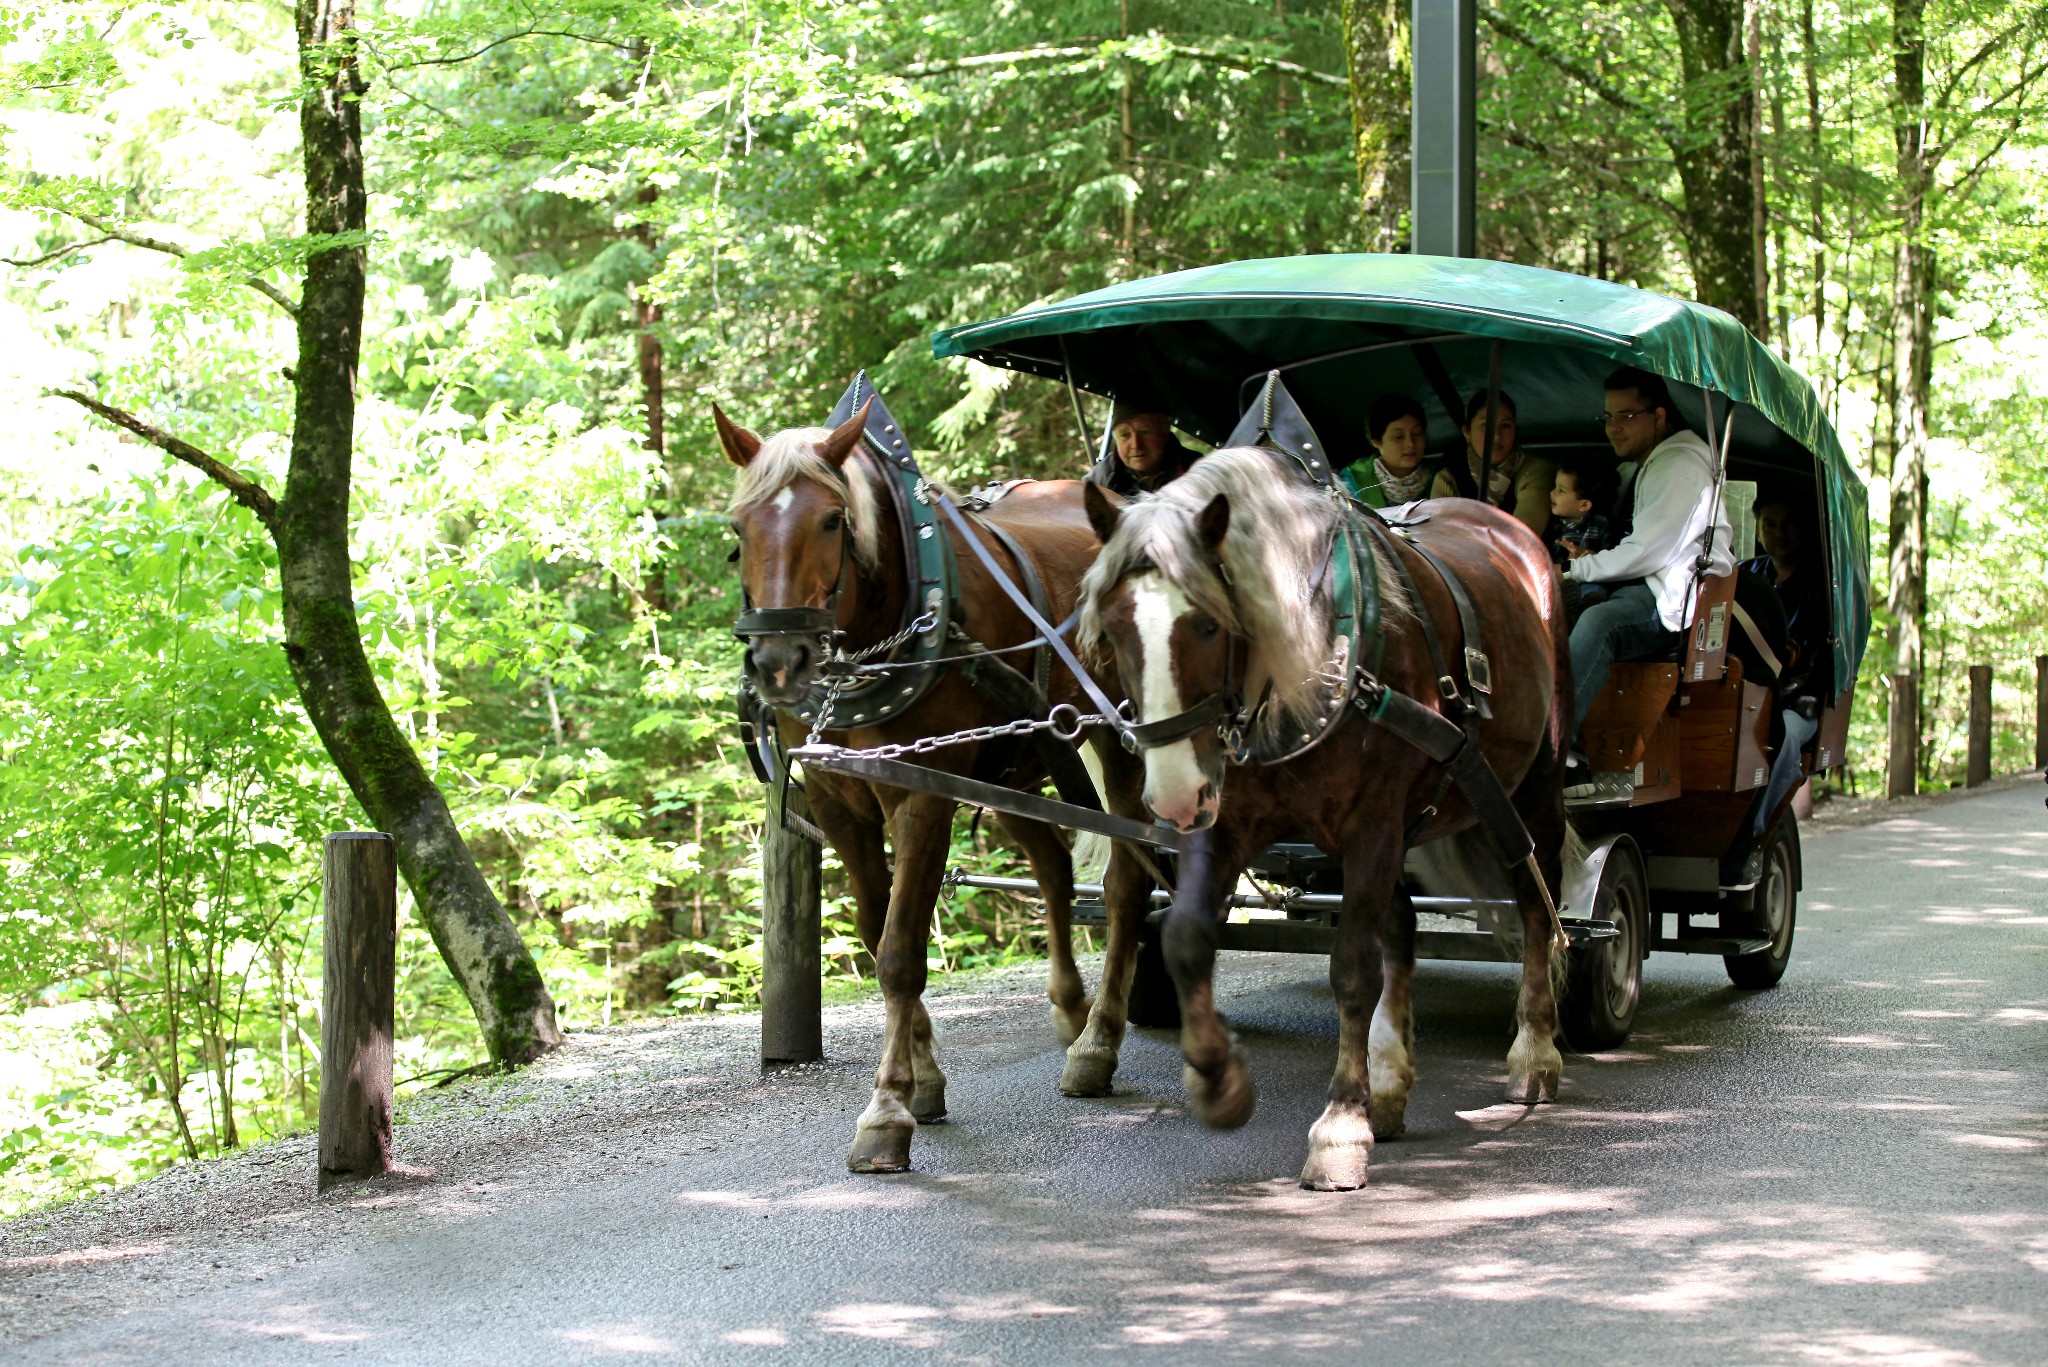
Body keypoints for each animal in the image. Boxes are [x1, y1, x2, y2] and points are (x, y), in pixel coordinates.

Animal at [1073, 446, 1564, 1188]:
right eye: (1114, 628)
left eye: (1209, 623)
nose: (1173, 796)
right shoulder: (1228, 818)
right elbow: (1186, 938)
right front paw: (1220, 1081)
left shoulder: (1371, 824)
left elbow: (1352, 969)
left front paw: (1340, 1126)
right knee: (1402, 925)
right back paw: (1389, 1082)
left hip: (1534, 775)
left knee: (1537, 900)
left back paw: (1534, 1048)